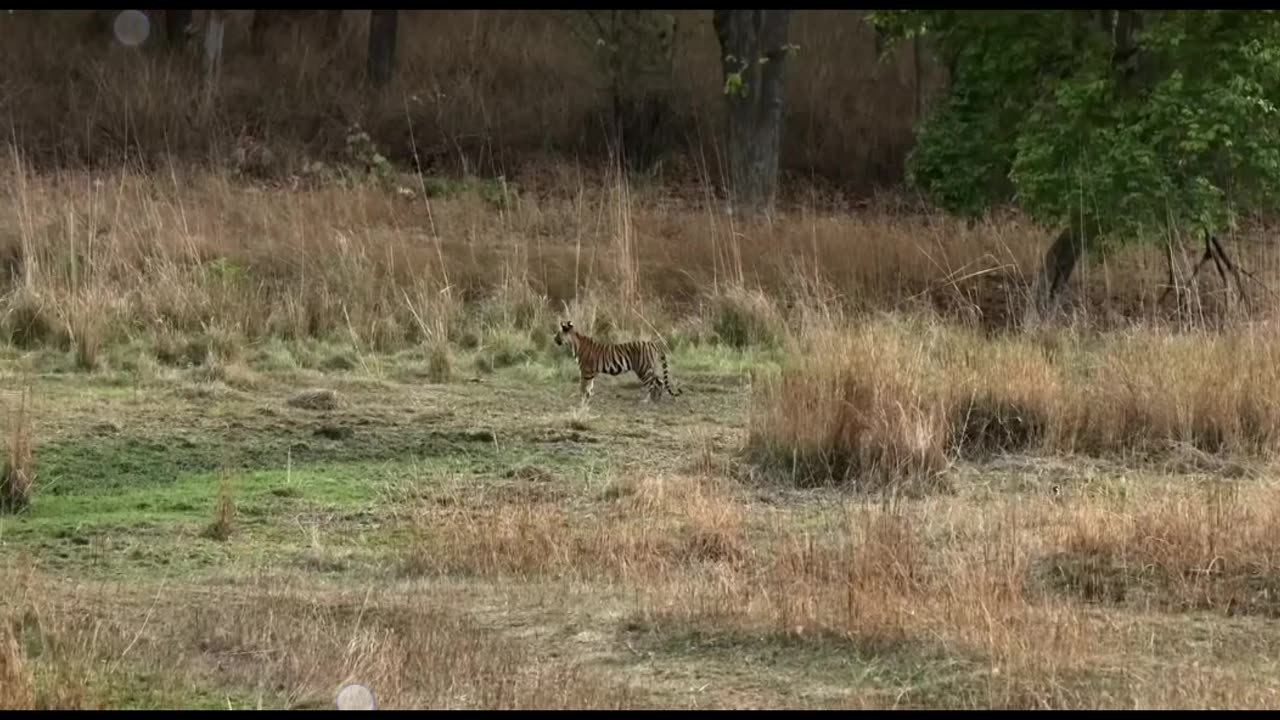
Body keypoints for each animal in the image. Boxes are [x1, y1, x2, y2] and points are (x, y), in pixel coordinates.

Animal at [555, 320, 686, 404]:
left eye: (558, 334)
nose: (554, 339)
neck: (573, 343)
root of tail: (653, 343)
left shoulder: (585, 370)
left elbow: (583, 385)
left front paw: (582, 398)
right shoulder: (591, 372)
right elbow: (590, 386)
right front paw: (588, 397)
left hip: (643, 369)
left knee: (652, 383)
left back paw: (646, 400)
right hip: (650, 367)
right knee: (659, 381)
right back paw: (656, 399)